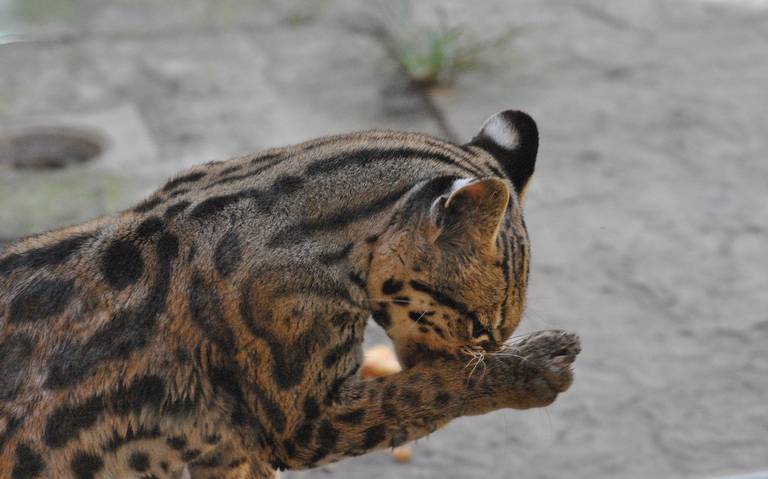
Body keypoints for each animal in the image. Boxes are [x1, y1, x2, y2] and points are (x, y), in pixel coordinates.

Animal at [0, 110, 576, 478]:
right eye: (480, 326)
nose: (488, 350)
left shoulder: (226, 448)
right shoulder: (303, 423)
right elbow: (423, 392)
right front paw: (527, 370)